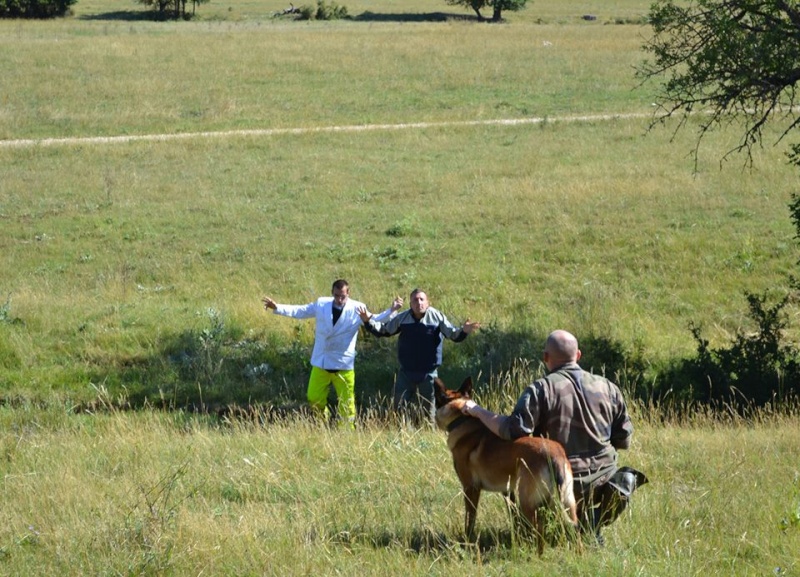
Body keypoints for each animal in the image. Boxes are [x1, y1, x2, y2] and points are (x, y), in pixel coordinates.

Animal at [434, 376, 580, 552]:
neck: (461, 419)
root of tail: (553, 454)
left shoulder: (470, 488)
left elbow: (470, 521)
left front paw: (467, 541)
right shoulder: (507, 491)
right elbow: (514, 517)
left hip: (528, 501)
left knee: (540, 529)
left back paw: (537, 554)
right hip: (568, 502)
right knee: (575, 529)